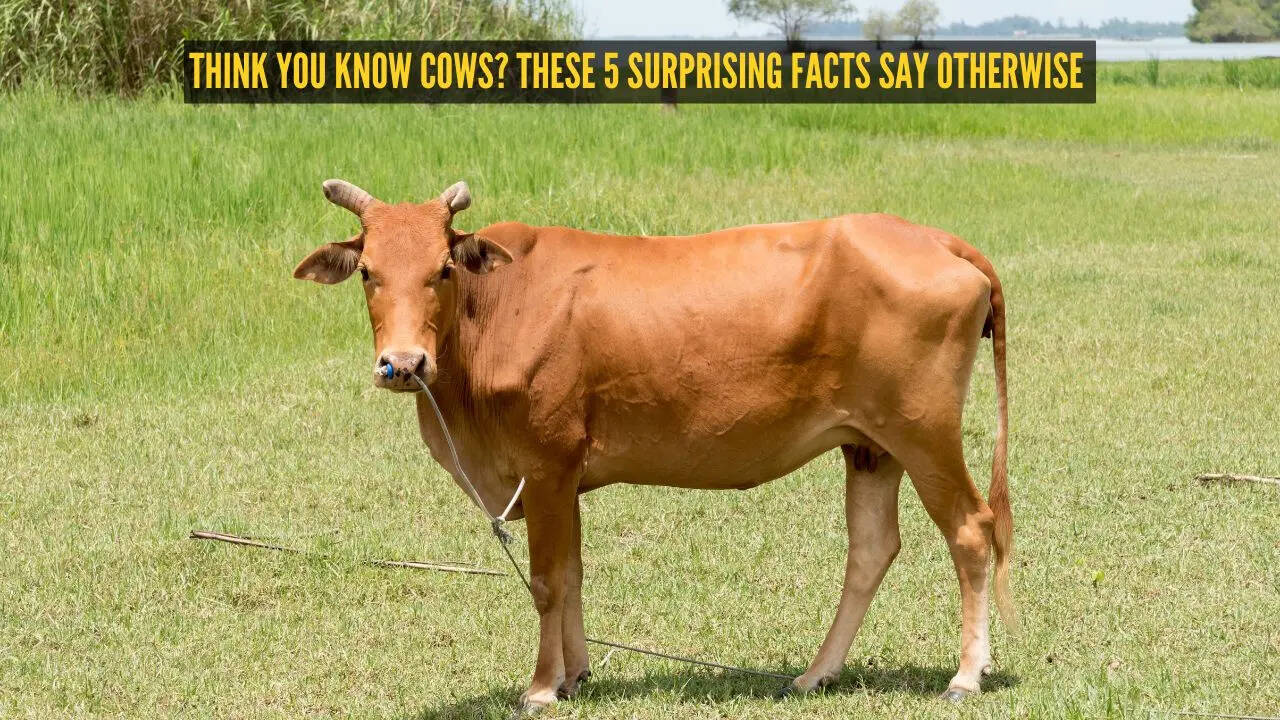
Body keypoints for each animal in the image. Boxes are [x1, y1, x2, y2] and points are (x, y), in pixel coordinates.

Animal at [294, 179, 1014, 716]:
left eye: (442, 269)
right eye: (368, 273)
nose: (404, 364)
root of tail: (934, 238)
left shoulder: (546, 464)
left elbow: (548, 580)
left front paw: (540, 688)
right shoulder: (565, 475)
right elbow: (574, 573)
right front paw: (575, 676)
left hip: (924, 434)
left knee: (971, 531)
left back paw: (965, 674)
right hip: (870, 446)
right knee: (871, 549)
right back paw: (817, 674)